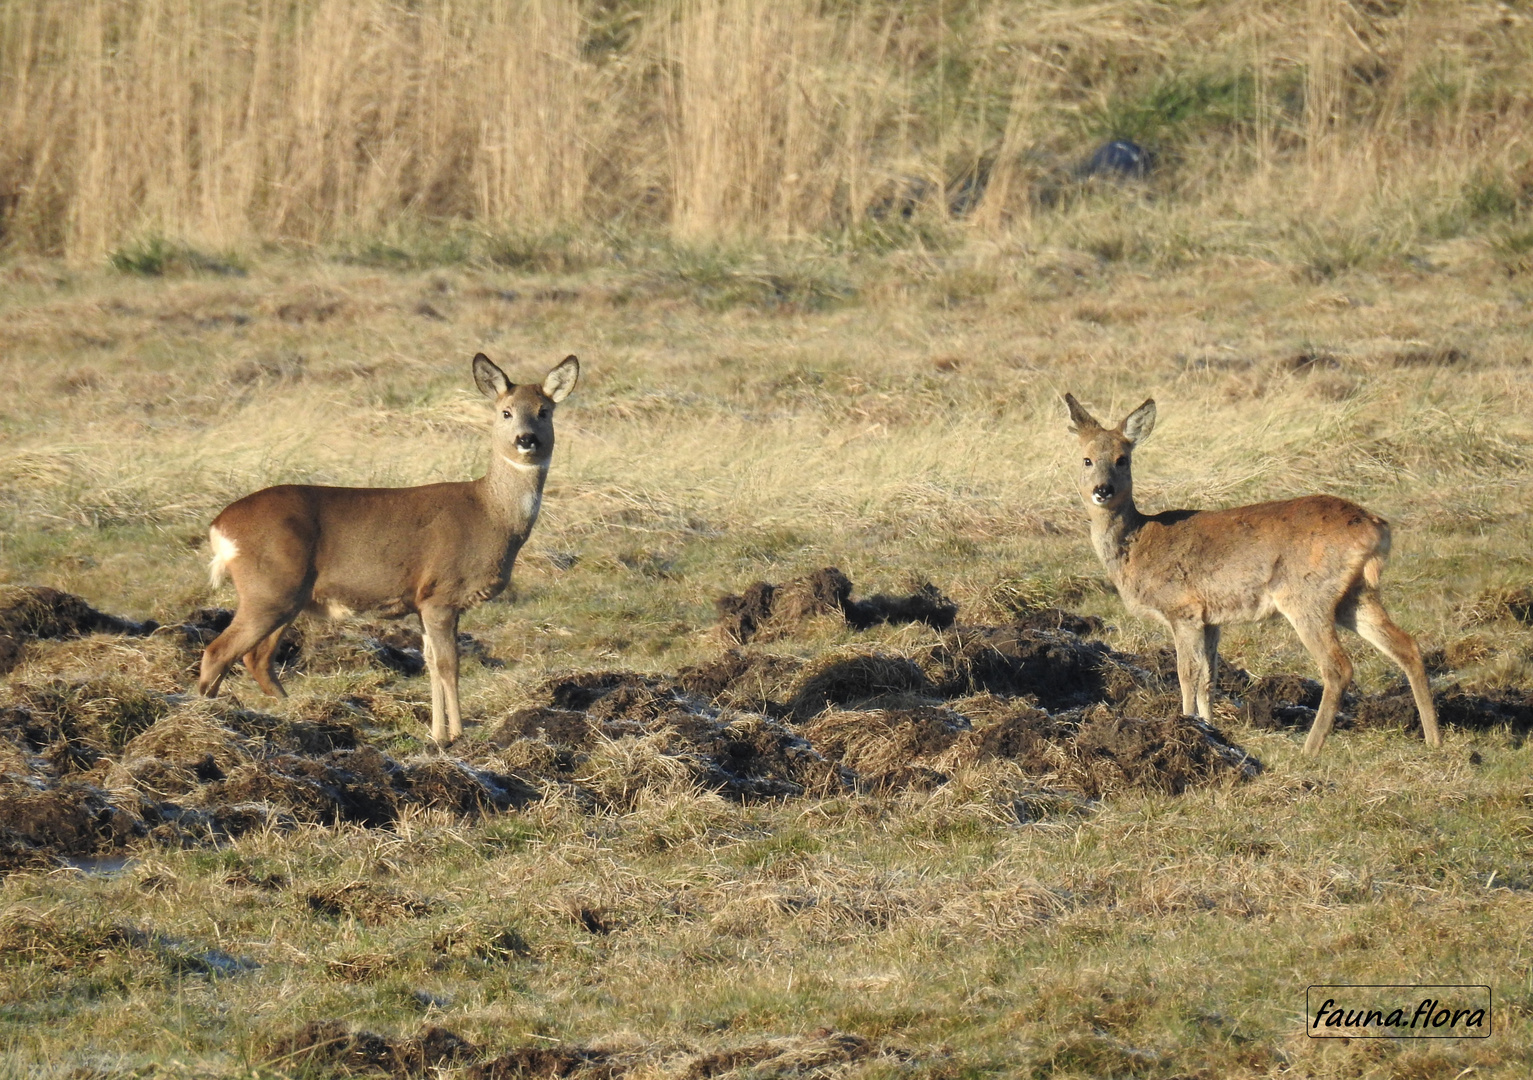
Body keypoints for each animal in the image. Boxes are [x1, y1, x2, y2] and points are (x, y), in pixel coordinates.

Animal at [199, 352, 579, 741]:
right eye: (505, 411)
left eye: (544, 411)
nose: (526, 439)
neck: (490, 512)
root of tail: (220, 525)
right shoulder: (442, 593)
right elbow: (449, 664)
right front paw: (457, 735)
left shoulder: (422, 601)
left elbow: (430, 663)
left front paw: (436, 734)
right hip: (268, 588)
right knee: (218, 651)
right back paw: (211, 716)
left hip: (285, 596)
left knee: (256, 657)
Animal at [1060, 392, 1441, 753]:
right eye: (1087, 459)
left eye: (1122, 459)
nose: (1102, 490)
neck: (1138, 544)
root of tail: (1376, 527)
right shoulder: (1210, 618)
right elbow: (1209, 676)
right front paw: (1210, 730)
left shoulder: (1182, 609)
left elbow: (1187, 673)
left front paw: (1186, 724)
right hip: (1355, 595)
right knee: (1406, 645)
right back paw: (1432, 738)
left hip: (1307, 595)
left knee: (1338, 666)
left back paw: (1309, 749)